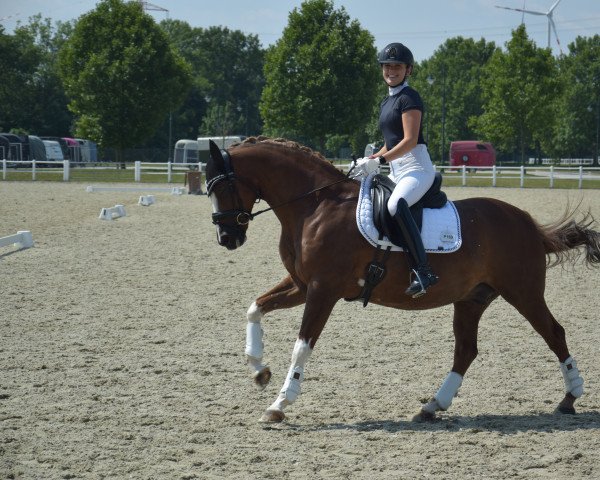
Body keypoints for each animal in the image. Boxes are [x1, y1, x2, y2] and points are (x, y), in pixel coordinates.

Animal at [206, 136, 600, 424]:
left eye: (222, 187)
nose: (227, 239)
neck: (315, 206)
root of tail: (527, 222)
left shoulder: (322, 290)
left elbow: (302, 346)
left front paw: (279, 404)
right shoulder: (302, 285)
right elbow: (255, 307)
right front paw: (259, 370)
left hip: (523, 291)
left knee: (554, 333)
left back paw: (569, 397)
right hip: (471, 299)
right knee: (466, 350)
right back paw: (432, 406)